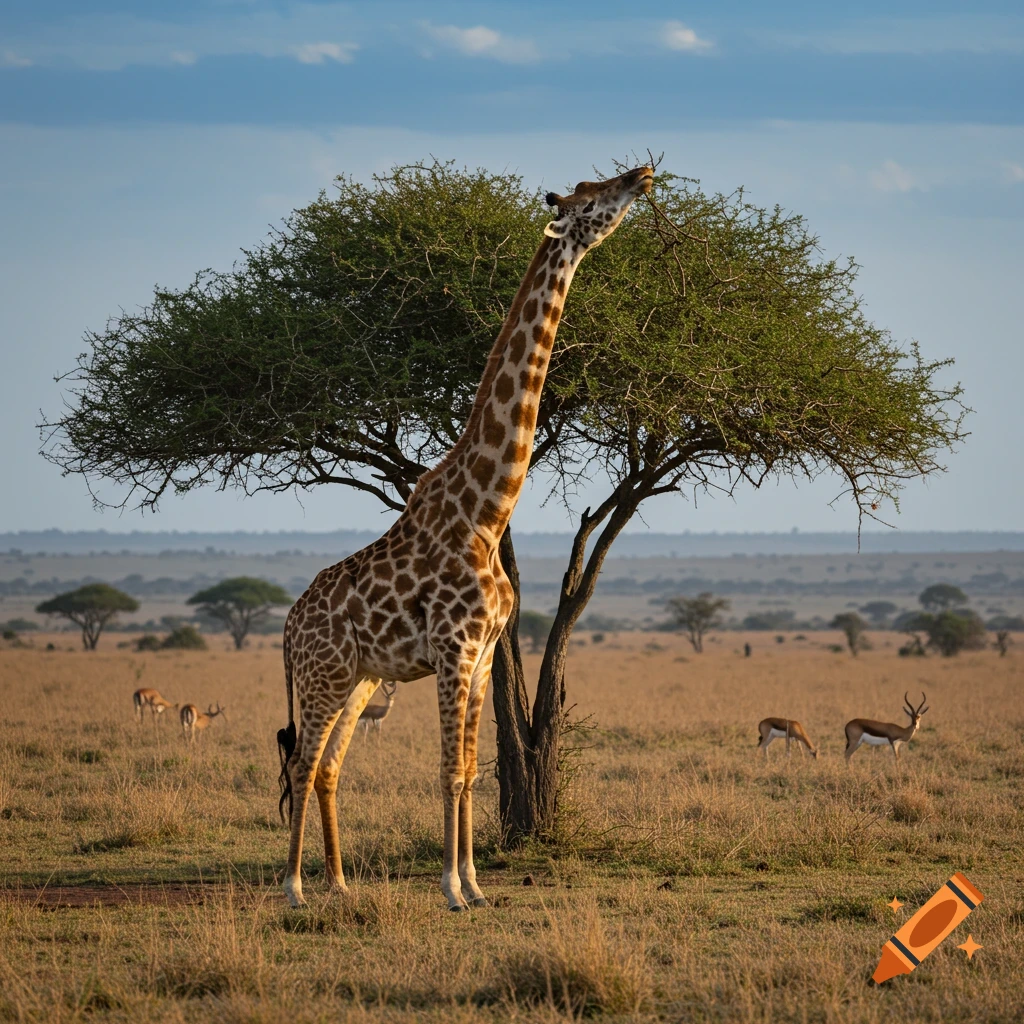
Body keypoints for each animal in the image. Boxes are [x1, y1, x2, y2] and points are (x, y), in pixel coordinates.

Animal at [277, 165, 655, 911]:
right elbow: (450, 770)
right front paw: (452, 888)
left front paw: (478, 885)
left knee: (326, 766)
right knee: (302, 764)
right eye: (591, 196)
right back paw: (298, 888)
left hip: (357, 679)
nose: (642, 173)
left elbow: (475, 771)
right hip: (322, 677)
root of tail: (285, 626)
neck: (487, 509)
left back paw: (337, 883)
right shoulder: (454, 650)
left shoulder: (479, 659)